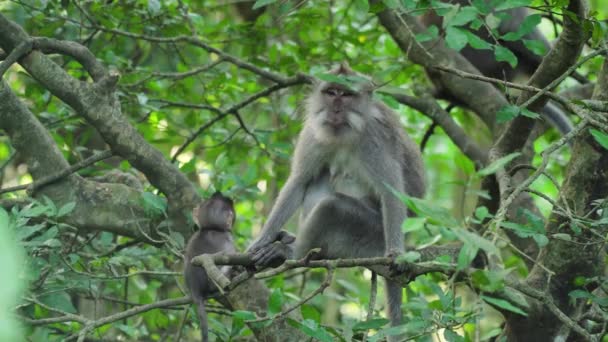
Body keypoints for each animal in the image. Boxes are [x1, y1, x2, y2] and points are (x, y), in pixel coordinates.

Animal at [247, 62, 428, 340]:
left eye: (346, 94)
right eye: (331, 92)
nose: (335, 108)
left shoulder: (373, 139)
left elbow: (391, 192)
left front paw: (397, 256)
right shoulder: (313, 133)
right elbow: (300, 181)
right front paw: (262, 239)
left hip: (371, 236)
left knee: (331, 207)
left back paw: (292, 252)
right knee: (320, 176)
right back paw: (292, 242)